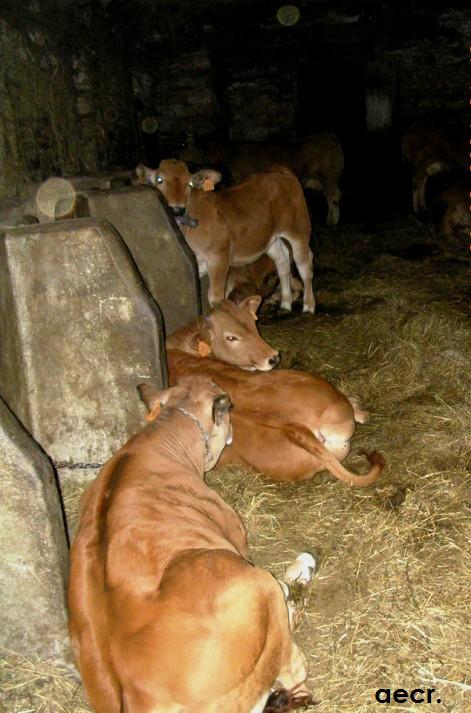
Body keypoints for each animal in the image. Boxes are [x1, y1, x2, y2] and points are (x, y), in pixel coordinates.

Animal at [179, 132, 344, 224]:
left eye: (183, 144)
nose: (176, 157)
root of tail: (328, 136)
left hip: (328, 177)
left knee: (334, 197)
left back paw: (332, 221)